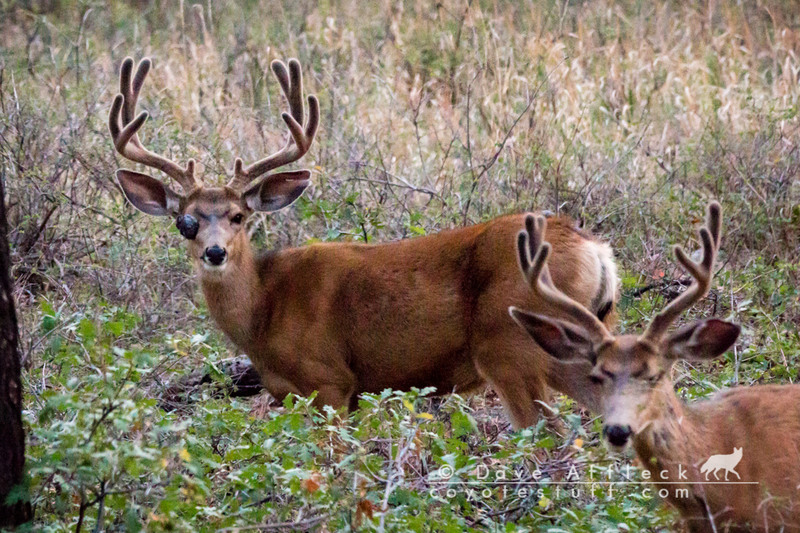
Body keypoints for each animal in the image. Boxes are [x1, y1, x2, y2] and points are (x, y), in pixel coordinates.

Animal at [108, 56, 620, 426]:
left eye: (239, 216)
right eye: (185, 222)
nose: (215, 252)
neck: (264, 310)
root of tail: (596, 250)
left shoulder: (330, 381)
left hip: (510, 346)